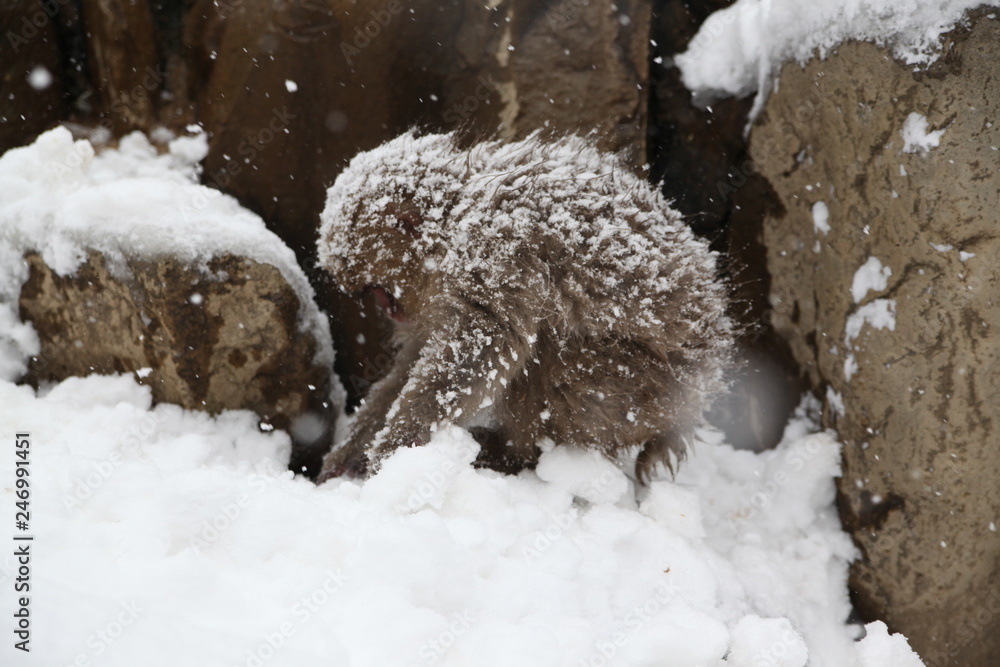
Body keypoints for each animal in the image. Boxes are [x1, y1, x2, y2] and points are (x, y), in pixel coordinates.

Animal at [316, 130, 734, 483]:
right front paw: (354, 449)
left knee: (548, 353)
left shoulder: (495, 251)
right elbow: (417, 356)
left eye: (377, 291)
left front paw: (392, 453)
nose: (388, 311)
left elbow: (483, 345)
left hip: (639, 389)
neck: (455, 217)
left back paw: (512, 455)